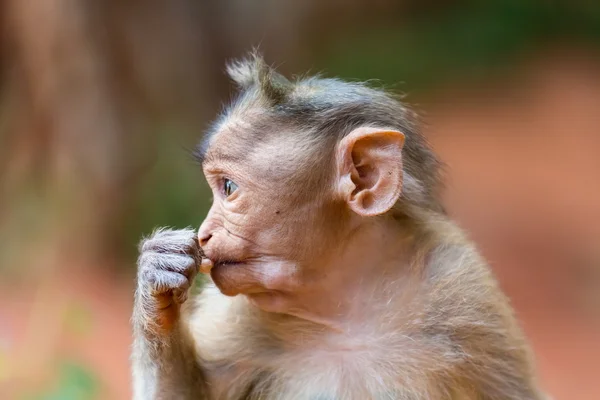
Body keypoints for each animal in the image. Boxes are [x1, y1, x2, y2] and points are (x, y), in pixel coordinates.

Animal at [131, 54, 548, 400]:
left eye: (229, 188)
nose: (204, 234)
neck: (345, 308)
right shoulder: (236, 316)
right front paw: (156, 278)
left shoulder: (463, 292)